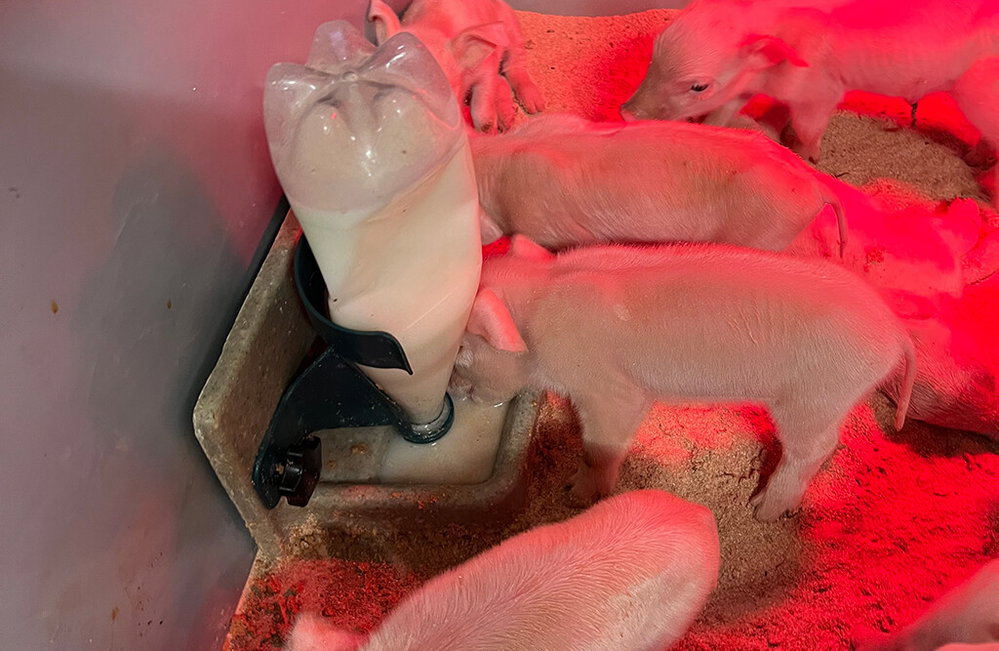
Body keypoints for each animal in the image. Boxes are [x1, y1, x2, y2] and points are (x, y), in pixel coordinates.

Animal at [368, 0, 545, 132]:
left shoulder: (487, 66)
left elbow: (482, 106)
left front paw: (488, 130)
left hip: (512, 28)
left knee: (514, 65)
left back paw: (535, 107)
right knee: (501, 79)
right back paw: (508, 122)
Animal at [450, 236, 916, 521]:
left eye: (459, 354)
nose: (452, 392)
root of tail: (894, 330)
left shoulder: (611, 388)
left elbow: (601, 446)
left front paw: (575, 495)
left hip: (814, 396)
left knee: (812, 448)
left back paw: (762, 509)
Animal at [620, 0, 999, 204]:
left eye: (699, 85)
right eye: (653, 53)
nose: (625, 113)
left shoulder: (821, 91)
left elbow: (807, 128)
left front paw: (806, 159)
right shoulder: (747, 85)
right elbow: (725, 113)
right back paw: (973, 160)